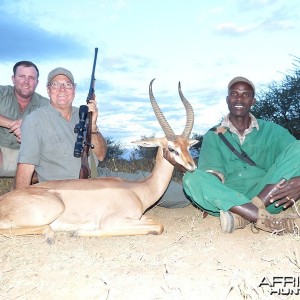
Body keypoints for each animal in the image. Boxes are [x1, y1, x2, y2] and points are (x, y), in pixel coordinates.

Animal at [0, 78, 198, 243]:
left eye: (188, 146)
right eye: (172, 148)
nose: (192, 166)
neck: (138, 190)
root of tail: (4, 200)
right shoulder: (112, 220)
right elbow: (158, 226)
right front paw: (79, 232)